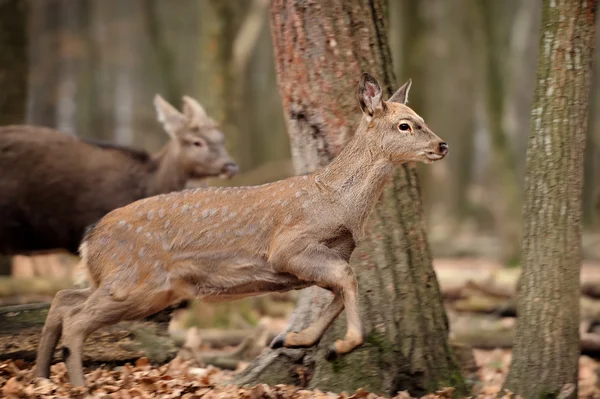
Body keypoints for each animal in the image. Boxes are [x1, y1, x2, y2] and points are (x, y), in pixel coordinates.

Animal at [32, 72, 446, 388]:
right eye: (405, 125)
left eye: (423, 118)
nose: (442, 145)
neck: (336, 202)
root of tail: (90, 238)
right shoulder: (289, 247)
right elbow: (347, 279)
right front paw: (342, 345)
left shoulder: (321, 258)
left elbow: (340, 291)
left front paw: (293, 339)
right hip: (136, 281)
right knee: (76, 319)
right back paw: (79, 385)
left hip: (126, 282)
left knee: (64, 299)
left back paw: (42, 377)